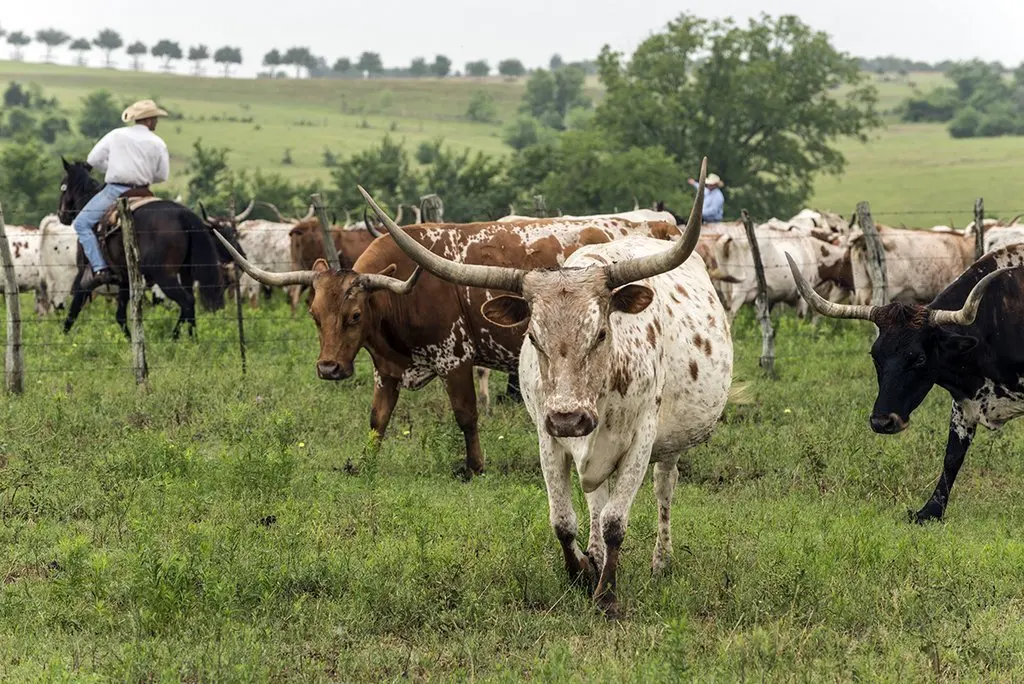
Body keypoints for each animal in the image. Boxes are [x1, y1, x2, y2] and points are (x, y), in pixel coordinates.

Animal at [58, 160, 231, 342]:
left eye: (63, 186)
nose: (61, 215)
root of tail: (183, 214)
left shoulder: (87, 275)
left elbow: (75, 307)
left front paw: (63, 337)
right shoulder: (124, 279)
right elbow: (120, 315)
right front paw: (130, 340)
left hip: (165, 277)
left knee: (187, 302)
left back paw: (175, 338)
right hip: (185, 274)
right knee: (190, 305)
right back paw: (192, 339)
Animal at [786, 248, 1019, 520]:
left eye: (919, 358)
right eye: (875, 356)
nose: (882, 422)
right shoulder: (963, 404)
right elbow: (952, 456)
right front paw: (930, 511)